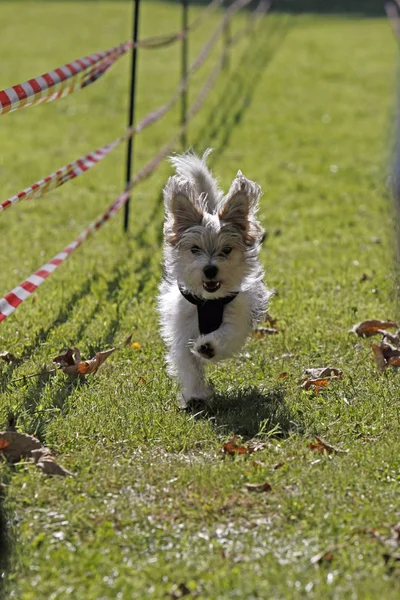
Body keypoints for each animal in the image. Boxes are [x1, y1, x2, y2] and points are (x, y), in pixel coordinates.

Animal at [158, 151, 270, 408]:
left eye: (226, 250)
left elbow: (227, 333)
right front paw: (195, 394)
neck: (210, 300)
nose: (210, 270)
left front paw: (208, 346)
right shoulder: (182, 324)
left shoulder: (237, 314)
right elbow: (188, 362)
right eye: (195, 249)